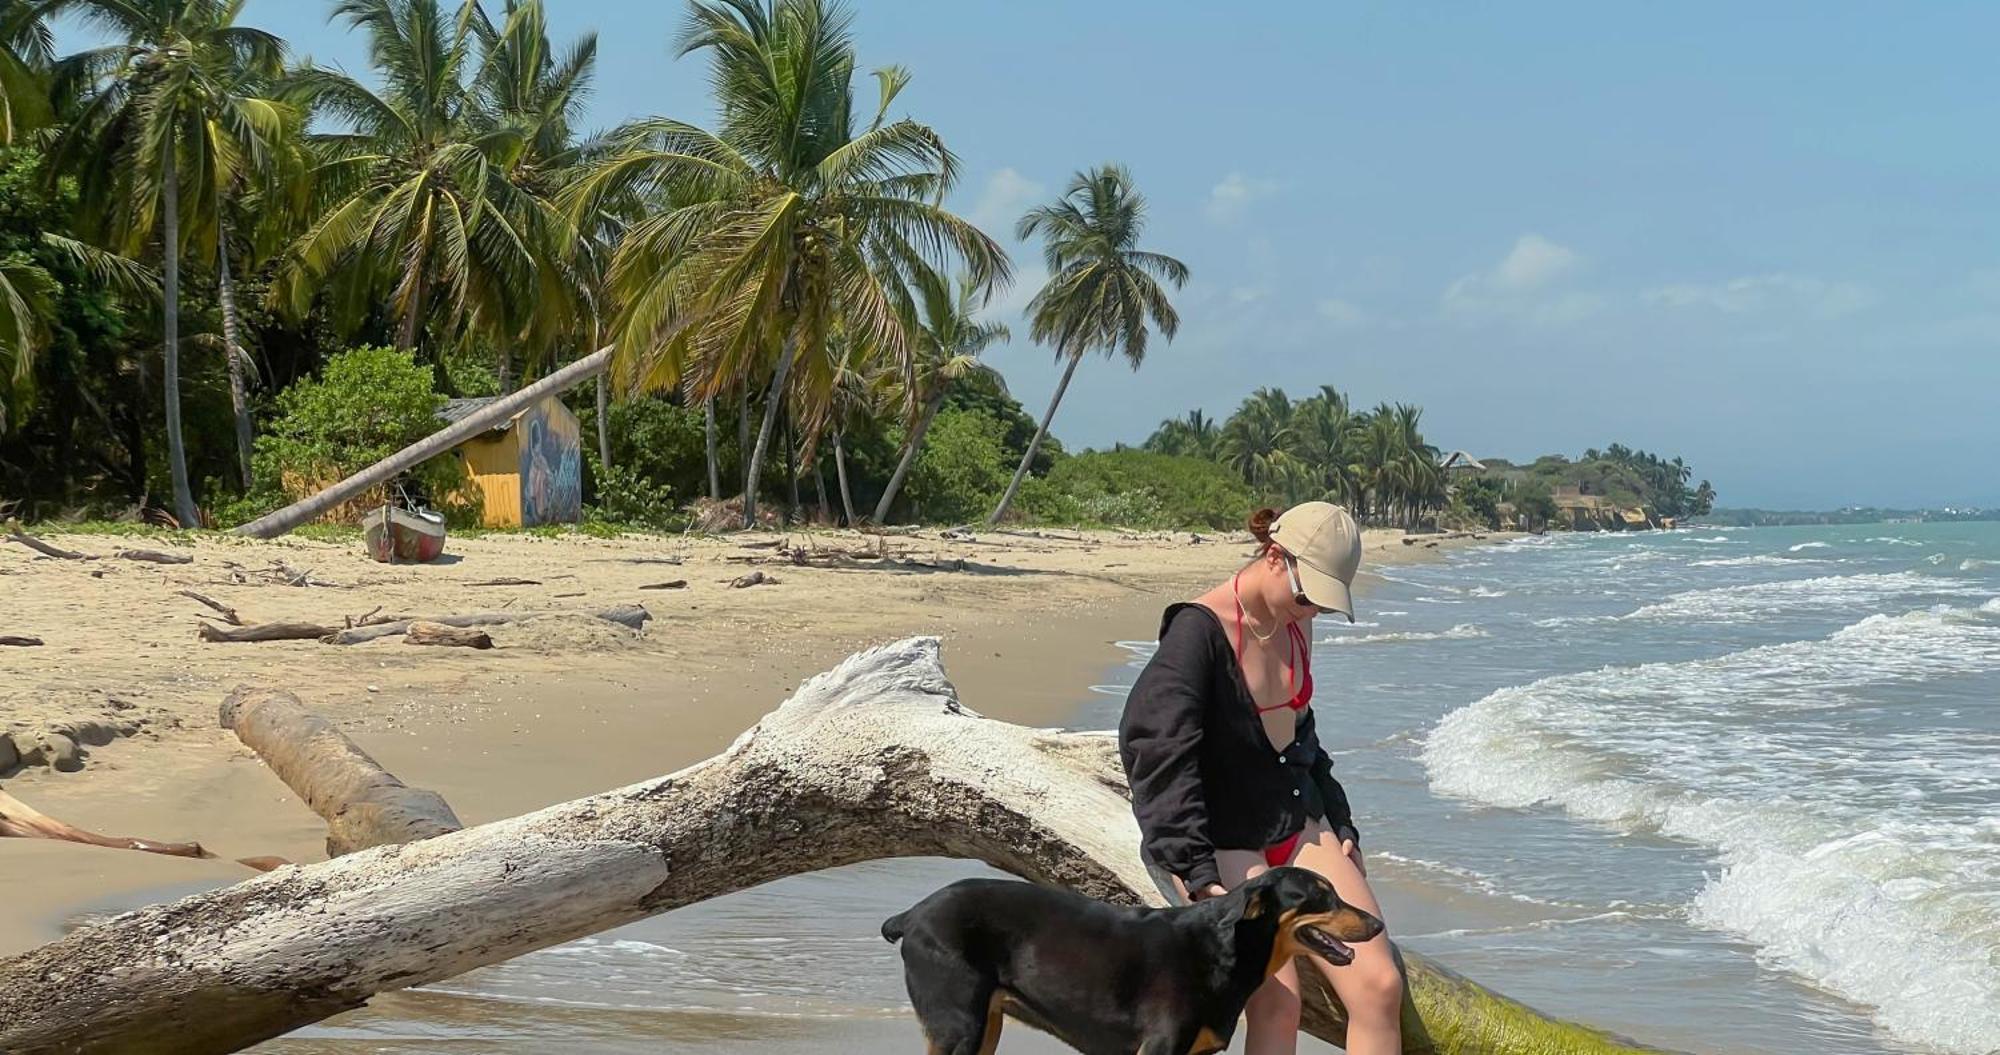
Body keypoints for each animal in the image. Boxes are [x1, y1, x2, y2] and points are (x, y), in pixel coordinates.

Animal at [884, 867, 1384, 1055]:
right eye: (1320, 895)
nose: (1378, 924)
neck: (1226, 950)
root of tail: (911, 915)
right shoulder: (1160, 1047)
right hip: (958, 1027)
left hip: (984, 1026)